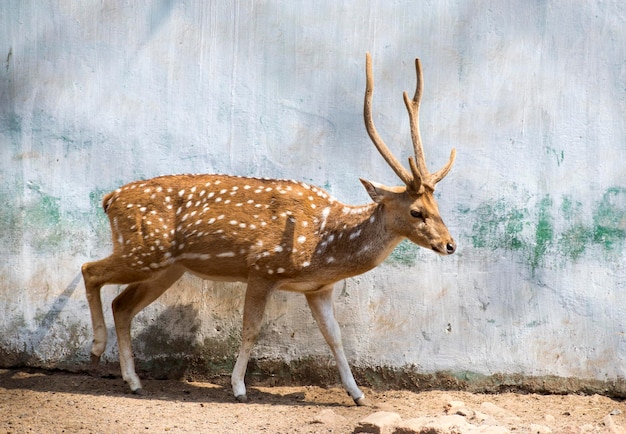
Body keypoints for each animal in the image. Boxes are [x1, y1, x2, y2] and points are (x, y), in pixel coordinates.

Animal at [81, 52, 454, 406]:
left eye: (438, 207)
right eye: (417, 211)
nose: (451, 245)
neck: (325, 243)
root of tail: (109, 199)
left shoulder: (318, 289)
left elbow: (335, 337)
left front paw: (359, 394)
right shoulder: (262, 268)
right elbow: (250, 328)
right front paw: (238, 388)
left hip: (166, 267)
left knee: (122, 305)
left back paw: (133, 381)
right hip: (144, 250)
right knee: (90, 270)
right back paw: (97, 348)